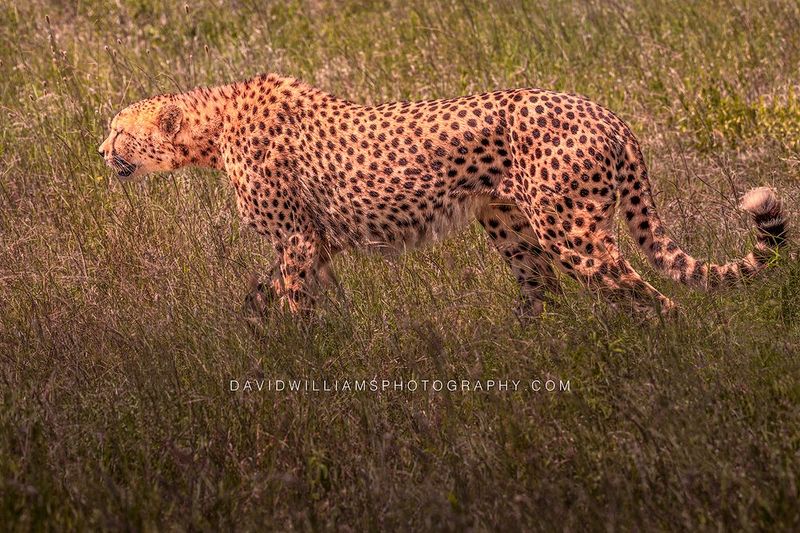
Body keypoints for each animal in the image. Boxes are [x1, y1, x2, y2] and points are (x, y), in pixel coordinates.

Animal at [98, 73, 788, 317]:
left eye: (119, 132)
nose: (100, 152)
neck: (213, 126)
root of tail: (608, 112)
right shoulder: (320, 238)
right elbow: (266, 289)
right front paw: (261, 326)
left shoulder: (298, 236)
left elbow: (292, 296)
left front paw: (298, 354)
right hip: (509, 223)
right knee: (544, 291)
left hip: (569, 228)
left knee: (645, 293)